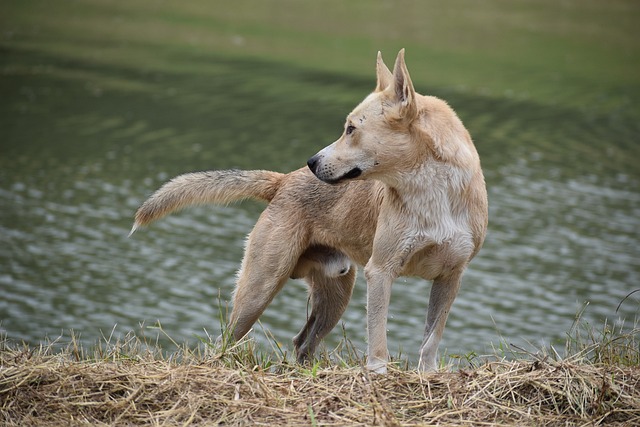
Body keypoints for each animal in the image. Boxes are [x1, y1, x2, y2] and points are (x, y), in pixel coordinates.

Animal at [132, 48, 488, 372]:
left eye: (350, 129)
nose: (312, 162)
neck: (433, 190)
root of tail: (283, 180)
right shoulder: (381, 272)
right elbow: (378, 343)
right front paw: (378, 377)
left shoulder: (450, 277)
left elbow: (431, 340)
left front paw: (427, 377)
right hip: (260, 288)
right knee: (224, 341)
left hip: (336, 293)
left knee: (303, 341)